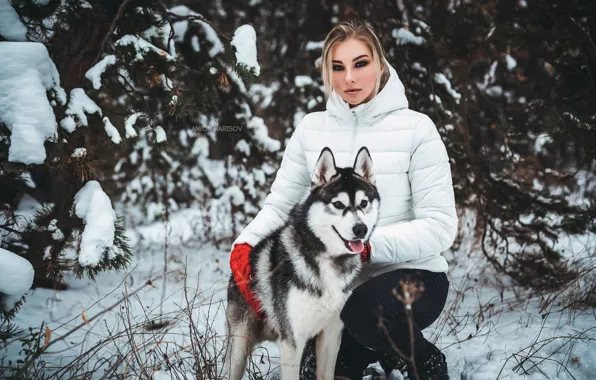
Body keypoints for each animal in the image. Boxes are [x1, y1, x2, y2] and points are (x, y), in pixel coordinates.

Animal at [224, 146, 382, 380]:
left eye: (364, 203)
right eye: (338, 204)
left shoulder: (331, 334)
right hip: (239, 346)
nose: (360, 229)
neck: (327, 260)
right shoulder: (292, 340)